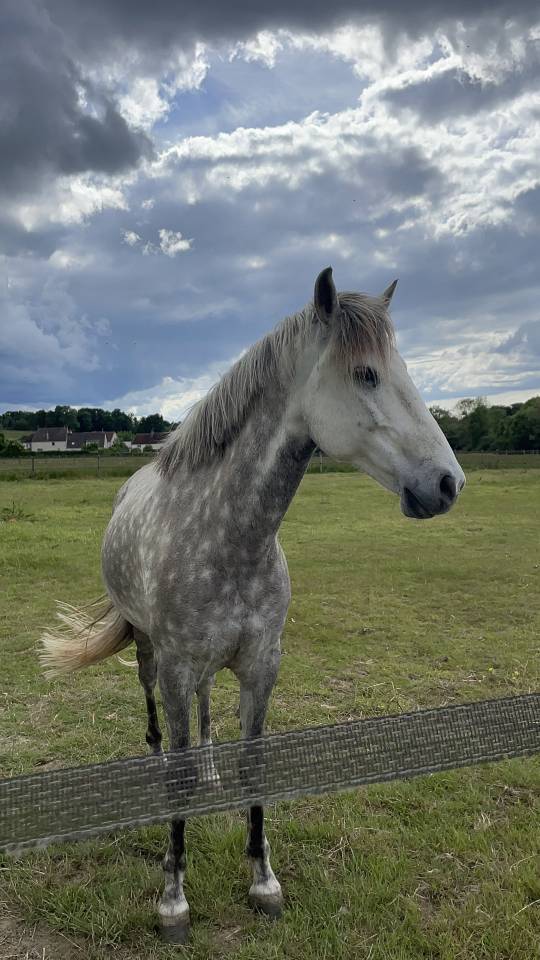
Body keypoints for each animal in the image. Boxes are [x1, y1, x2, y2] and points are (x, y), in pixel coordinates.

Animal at [40, 267, 465, 943]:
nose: (449, 484)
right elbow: (180, 780)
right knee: (159, 731)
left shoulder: (263, 667)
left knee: (206, 714)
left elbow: (254, 768)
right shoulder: (176, 668)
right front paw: (173, 898)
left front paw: (263, 881)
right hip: (149, 653)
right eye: (365, 374)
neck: (232, 536)